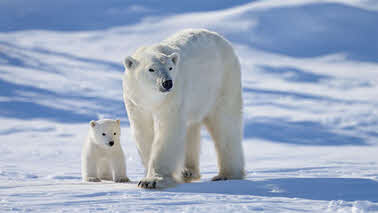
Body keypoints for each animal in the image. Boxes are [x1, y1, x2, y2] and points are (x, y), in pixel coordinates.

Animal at [122, 27, 244, 188]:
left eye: (170, 67)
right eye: (151, 69)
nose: (167, 83)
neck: (152, 98)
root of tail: (222, 39)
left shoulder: (172, 98)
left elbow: (167, 131)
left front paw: (153, 180)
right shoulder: (136, 103)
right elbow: (144, 132)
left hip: (222, 82)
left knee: (225, 124)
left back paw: (227, 174)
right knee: (190, 128)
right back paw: (188, 172)